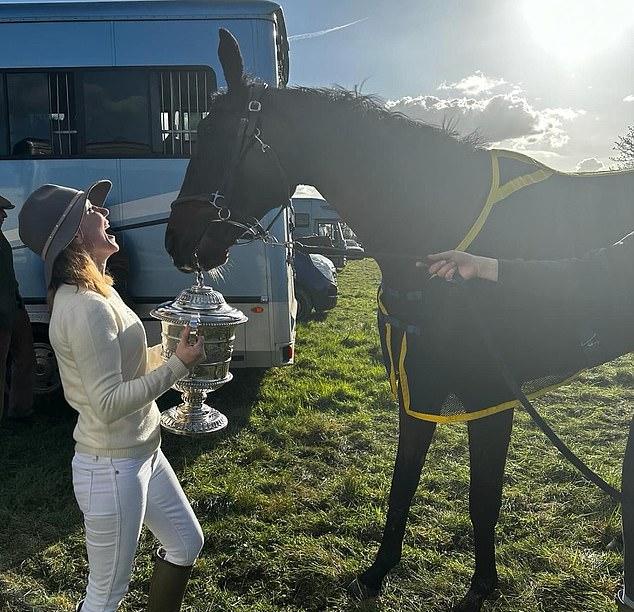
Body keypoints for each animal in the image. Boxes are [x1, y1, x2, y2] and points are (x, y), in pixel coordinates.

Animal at [164, 29, 632, 612]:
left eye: (218, 137)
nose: (177, 240)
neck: (436, 230)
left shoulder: (489, 399)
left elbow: (482, 498)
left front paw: (481, 587)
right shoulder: (419, 389)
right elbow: (403, 480)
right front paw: (378, 570)